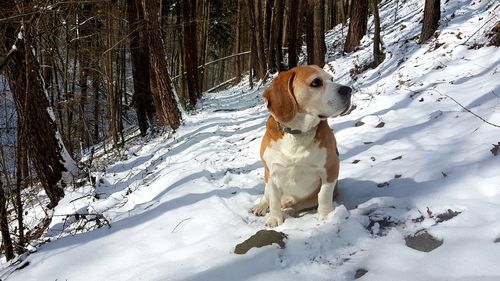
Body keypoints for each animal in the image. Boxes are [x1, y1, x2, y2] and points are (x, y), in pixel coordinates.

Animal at [250, 64, 352, 226]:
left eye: (331, 79)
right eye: (316, 82)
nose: (348, 90)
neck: (297, 134)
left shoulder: (330, 169)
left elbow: (323, 195)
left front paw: (326, 217)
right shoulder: (271, 173)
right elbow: (273, 199)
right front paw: (274, 218)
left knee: (297, 205)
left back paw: (289, 209)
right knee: (267, 196)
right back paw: (261, 206)